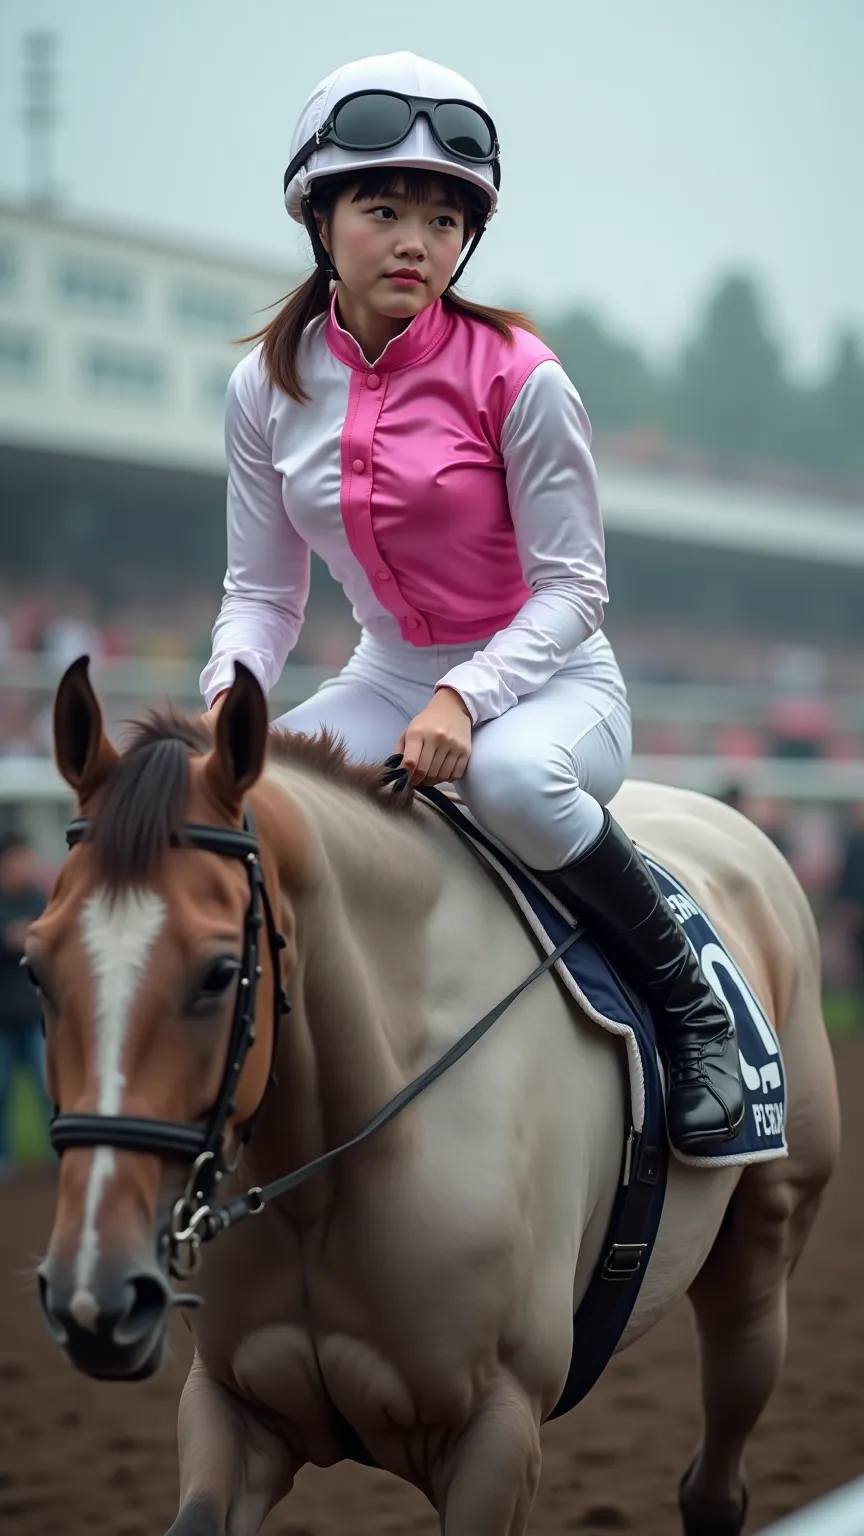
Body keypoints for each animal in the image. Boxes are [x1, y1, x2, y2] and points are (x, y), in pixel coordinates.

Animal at [28, 660, 836, 1536]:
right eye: (35, 965)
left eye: (218, 973)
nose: (94, 1296)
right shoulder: (232, 1402)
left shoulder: (498, 1428)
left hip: (763, 1244)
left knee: (723, 1449)